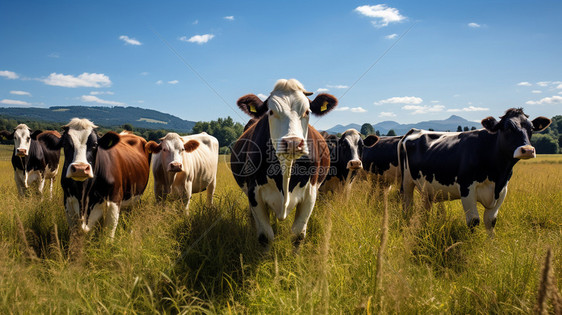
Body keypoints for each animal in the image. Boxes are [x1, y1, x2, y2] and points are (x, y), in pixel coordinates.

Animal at [229, 79, 336, 247]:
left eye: (307, 112)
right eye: (271, 112)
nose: (292, 142)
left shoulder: (310, 194)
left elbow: (298, 235)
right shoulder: (254, 193)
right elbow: (265, 236)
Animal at [396, 108, 548, 237]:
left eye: (531, 128)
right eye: (507, 128)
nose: (527, 150)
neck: (497, 174)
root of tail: (414, 130)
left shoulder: (503, 189)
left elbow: (491, 221)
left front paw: (491, 245)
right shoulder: (466, 188)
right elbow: (473, 221)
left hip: (427, 188)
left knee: (425, 211)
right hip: (406, 182)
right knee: (407, 207)